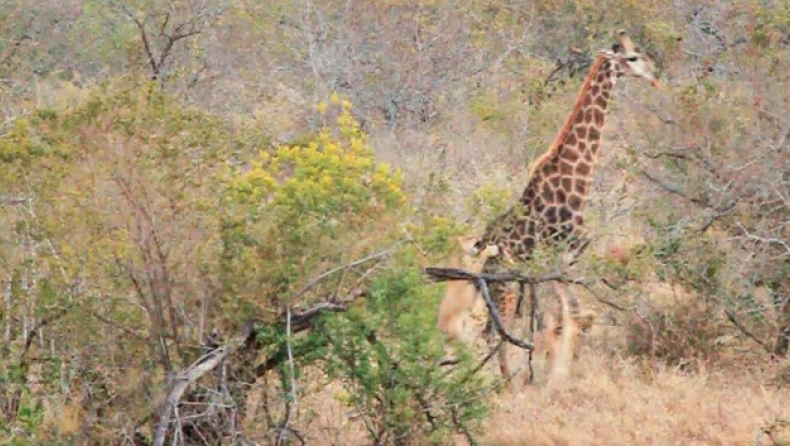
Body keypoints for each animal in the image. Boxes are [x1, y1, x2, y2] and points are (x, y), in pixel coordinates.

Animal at [476, 29, 664, 388]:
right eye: (632, 57)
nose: (655, 75)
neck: (576, 182)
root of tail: (481, 256)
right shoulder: (559, 257)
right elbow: (567, 319)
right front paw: (557, 376)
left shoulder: (564, 261)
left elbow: (565, 319)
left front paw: (554, 372)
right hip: (505, 285)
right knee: (498, 334)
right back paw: (507, 384)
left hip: (504, 286)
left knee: (493, 331)